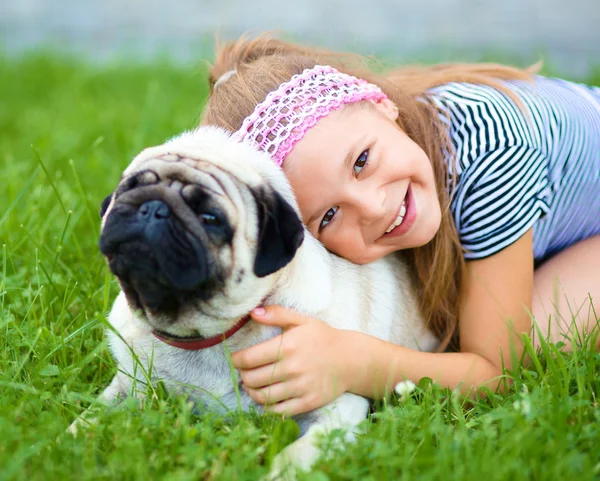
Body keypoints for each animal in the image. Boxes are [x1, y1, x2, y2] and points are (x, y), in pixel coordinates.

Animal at [70, 126, 438, 476]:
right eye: (130, 188)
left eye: (210, 219)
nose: (154, 207)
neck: (203, 338)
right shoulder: (127, 387)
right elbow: (87, 419)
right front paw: (64, 444)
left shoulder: (337, 407)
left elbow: (297, 452)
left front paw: (279, 473)